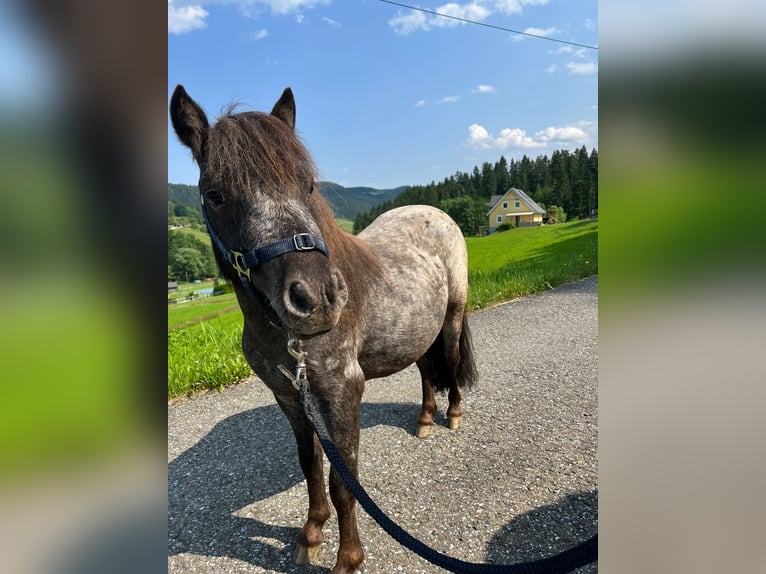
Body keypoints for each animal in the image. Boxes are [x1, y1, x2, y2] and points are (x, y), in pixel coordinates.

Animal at [171, 86, 476, 574]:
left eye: (308, 185)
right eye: (215, 195)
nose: (317, 298)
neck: (280, 334)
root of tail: (435, 213)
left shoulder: (342, 390)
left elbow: (343, 481)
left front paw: (348, 558)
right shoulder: (290, 395)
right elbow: (311, 465)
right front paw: (311, 533)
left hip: (450, 319)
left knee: (446, 361)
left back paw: (452, 415)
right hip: (415, 334)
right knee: (426, 370)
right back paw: (426, 418)